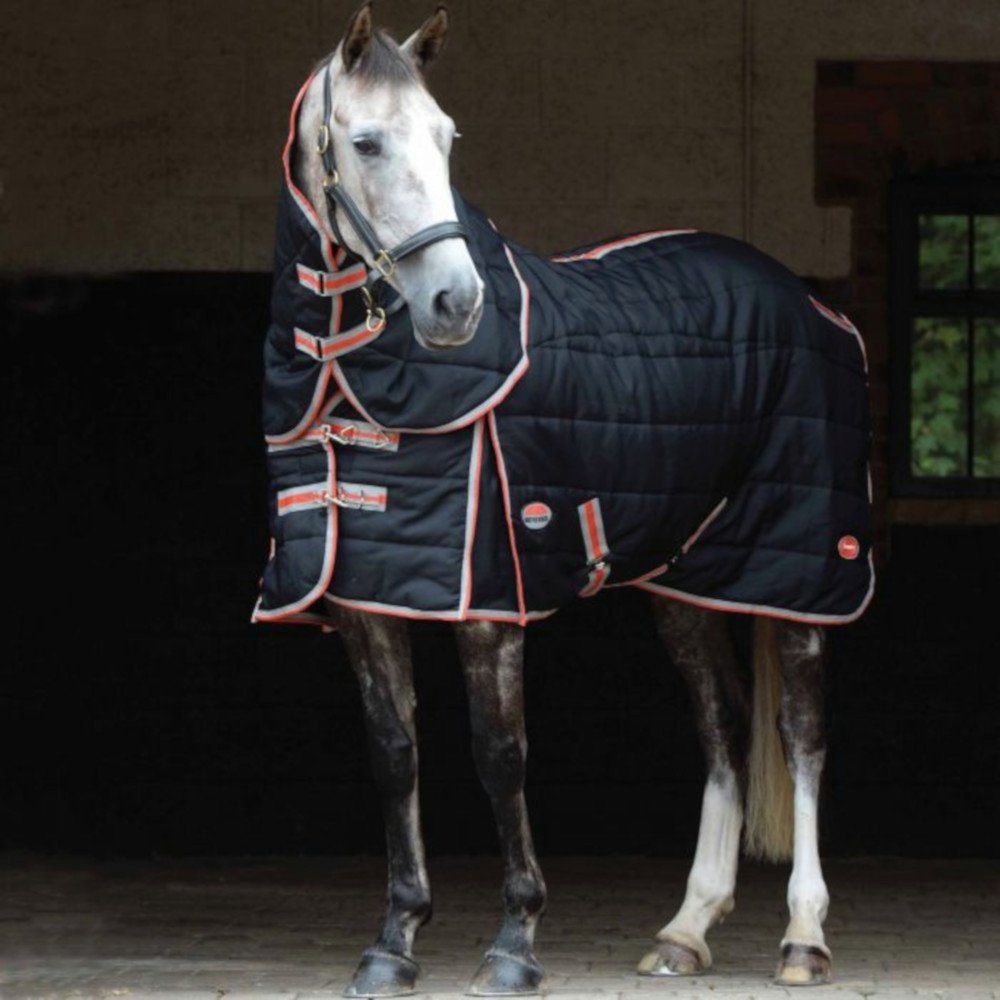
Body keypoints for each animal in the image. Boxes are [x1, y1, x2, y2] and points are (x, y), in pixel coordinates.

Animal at [255, 4, 872, 994]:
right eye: (367, 141)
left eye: (447, 137)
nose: (455, 303)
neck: (351, 381)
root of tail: (815, 307)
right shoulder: (364, 597)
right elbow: (395, 756)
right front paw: (395, 940)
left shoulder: (488, 595)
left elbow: (499, 754)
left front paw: (515, 941)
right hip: (685, 580)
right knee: (723, 726)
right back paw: (685, 929)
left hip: (803, 574)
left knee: (801, 732)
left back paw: (803, 937)